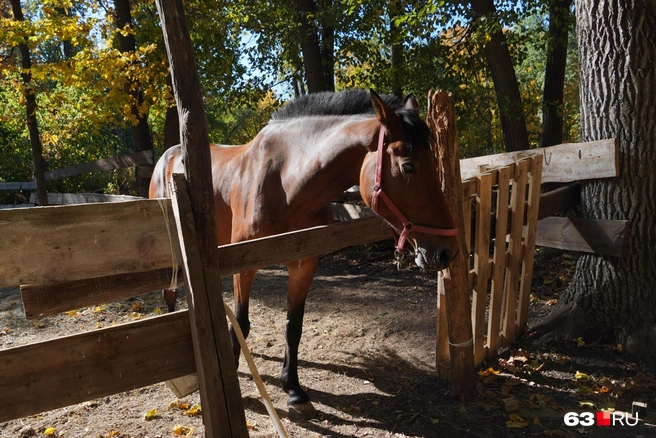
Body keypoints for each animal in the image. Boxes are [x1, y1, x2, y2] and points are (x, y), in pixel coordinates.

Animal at [149, 89, 458, 417]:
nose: (446, 251)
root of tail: (167, 157)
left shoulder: (304, 264)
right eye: (408, 166)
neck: (284, 184)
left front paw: (294, 390)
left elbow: (293, 327)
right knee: (170, 295)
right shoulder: (243, 267)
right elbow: (242, 323)